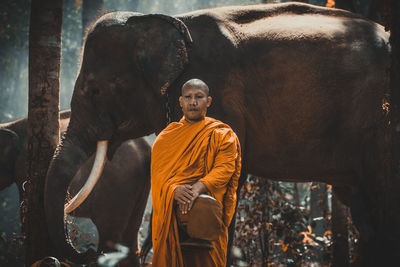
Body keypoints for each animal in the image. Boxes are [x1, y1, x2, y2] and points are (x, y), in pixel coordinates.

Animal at [0, 110, 150, 266]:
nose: (88, 252)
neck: (12, 124)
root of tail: (146, 150)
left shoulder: (23, 166)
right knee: (130, 238)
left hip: (117, 185)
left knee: (109, 236)